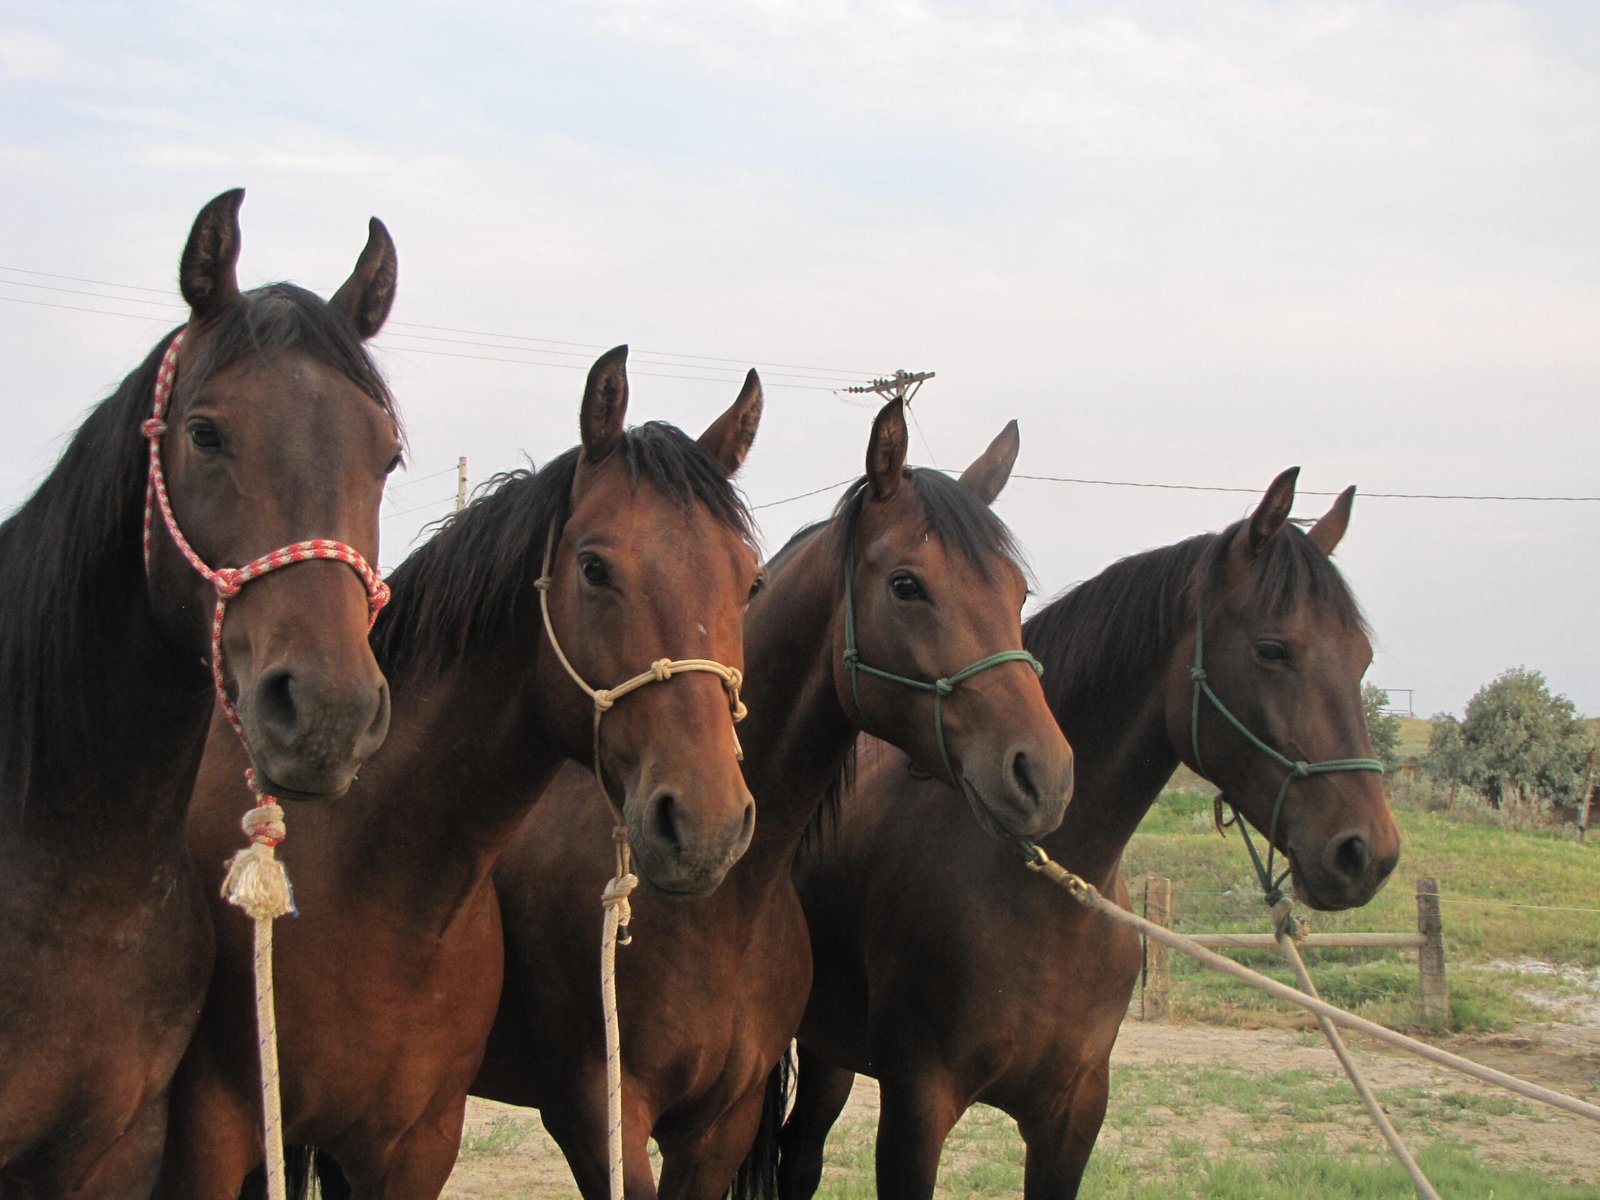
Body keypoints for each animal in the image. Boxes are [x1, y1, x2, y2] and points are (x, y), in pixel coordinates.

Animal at [157, 346, 766, 1200]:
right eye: (593, 568)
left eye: (749, 581)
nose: (707, 824)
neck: (374, 877)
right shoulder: (210, 1134)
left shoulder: (414, 1146)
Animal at [473, 398, 1075, 1199]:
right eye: (907, 584)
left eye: (1018, 592)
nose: (1046, 772)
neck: (720, 911)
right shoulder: (596, 1120)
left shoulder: (720, 1124)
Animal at [777, 468, 1402, 1199]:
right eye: (1273, 650)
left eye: (1362, 658)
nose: (1368, 851)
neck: (1041, 905)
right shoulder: (915, 1110)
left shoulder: (1072, 1117)